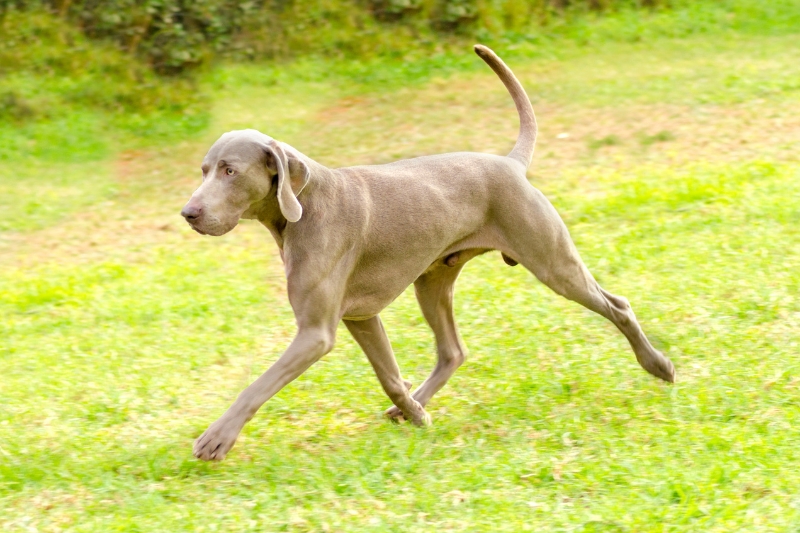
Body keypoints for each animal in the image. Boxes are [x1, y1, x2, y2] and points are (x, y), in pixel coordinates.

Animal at [181, 45, 676, 460]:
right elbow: (388, 376)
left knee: (618, 305)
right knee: (452, 350)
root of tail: (511, 163)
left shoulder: (315, 333)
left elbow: (258, 384)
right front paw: (415, 413)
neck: (303, 209)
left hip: (554, 263)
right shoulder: (361, 317)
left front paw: (217, 437)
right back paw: (415, 403)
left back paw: (659, 365)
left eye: (230, 171)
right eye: (204, 170)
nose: (188, 213)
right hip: (433, 279)